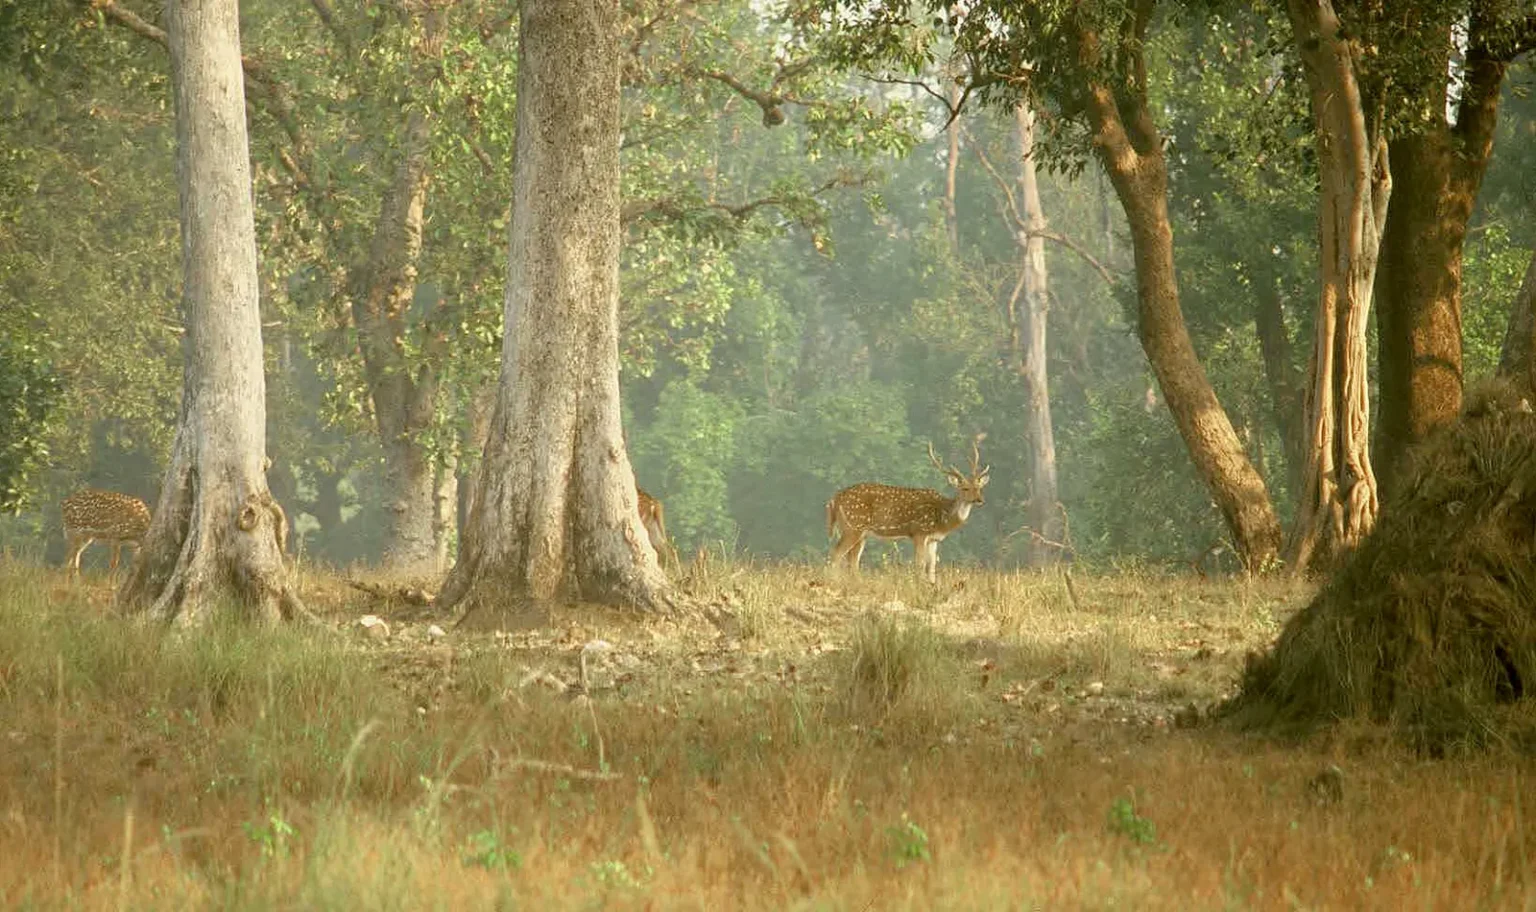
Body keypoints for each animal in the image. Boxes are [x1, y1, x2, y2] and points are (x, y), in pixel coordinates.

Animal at [829, 436, 995, 577]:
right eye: (965, 488)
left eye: (979, 488)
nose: (980, 500)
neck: (942, 518)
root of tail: (834, 499)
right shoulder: (919, 532)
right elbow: (919, 565)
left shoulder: (934, 539)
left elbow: (932, 567)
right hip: (853, 526)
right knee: (836, 554)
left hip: (861, 533)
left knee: (852, 560)